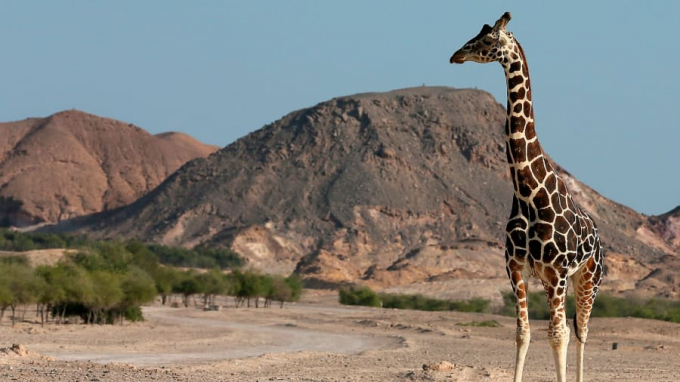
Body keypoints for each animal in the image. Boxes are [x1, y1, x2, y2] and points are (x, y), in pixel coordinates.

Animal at [448, 11, 604, 382]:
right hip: (559, 282)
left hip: (588, 278)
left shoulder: (557, 272)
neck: (528, 193)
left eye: (489, 39)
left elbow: (558, 336)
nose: (456, 55)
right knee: (574, 330)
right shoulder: (516, 269)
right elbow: (523, 334)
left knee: (581, 331)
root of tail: (599, 236)